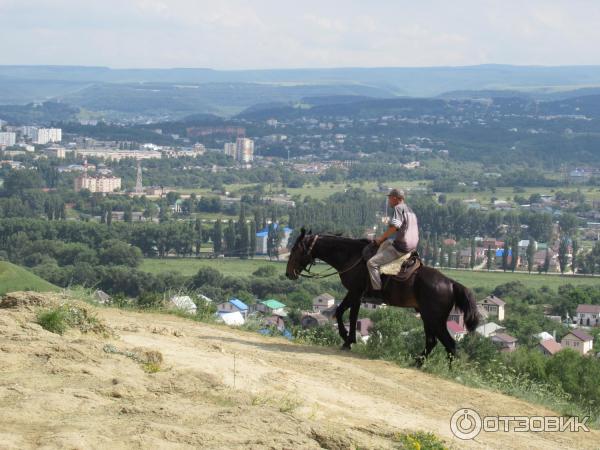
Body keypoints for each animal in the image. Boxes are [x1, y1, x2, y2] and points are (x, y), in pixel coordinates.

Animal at [286, 230, 478, 364]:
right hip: (427, 317)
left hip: (435, 318)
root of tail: (451, 283)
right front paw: (348, 338)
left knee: (450, 344)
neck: (351, 256)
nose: (289, 274)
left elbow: (347, 314)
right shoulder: (355, 294)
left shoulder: (355, 292)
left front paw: (347, 339)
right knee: (432, 342)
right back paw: (417, 363)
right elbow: (344, 313)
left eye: (296, 249)